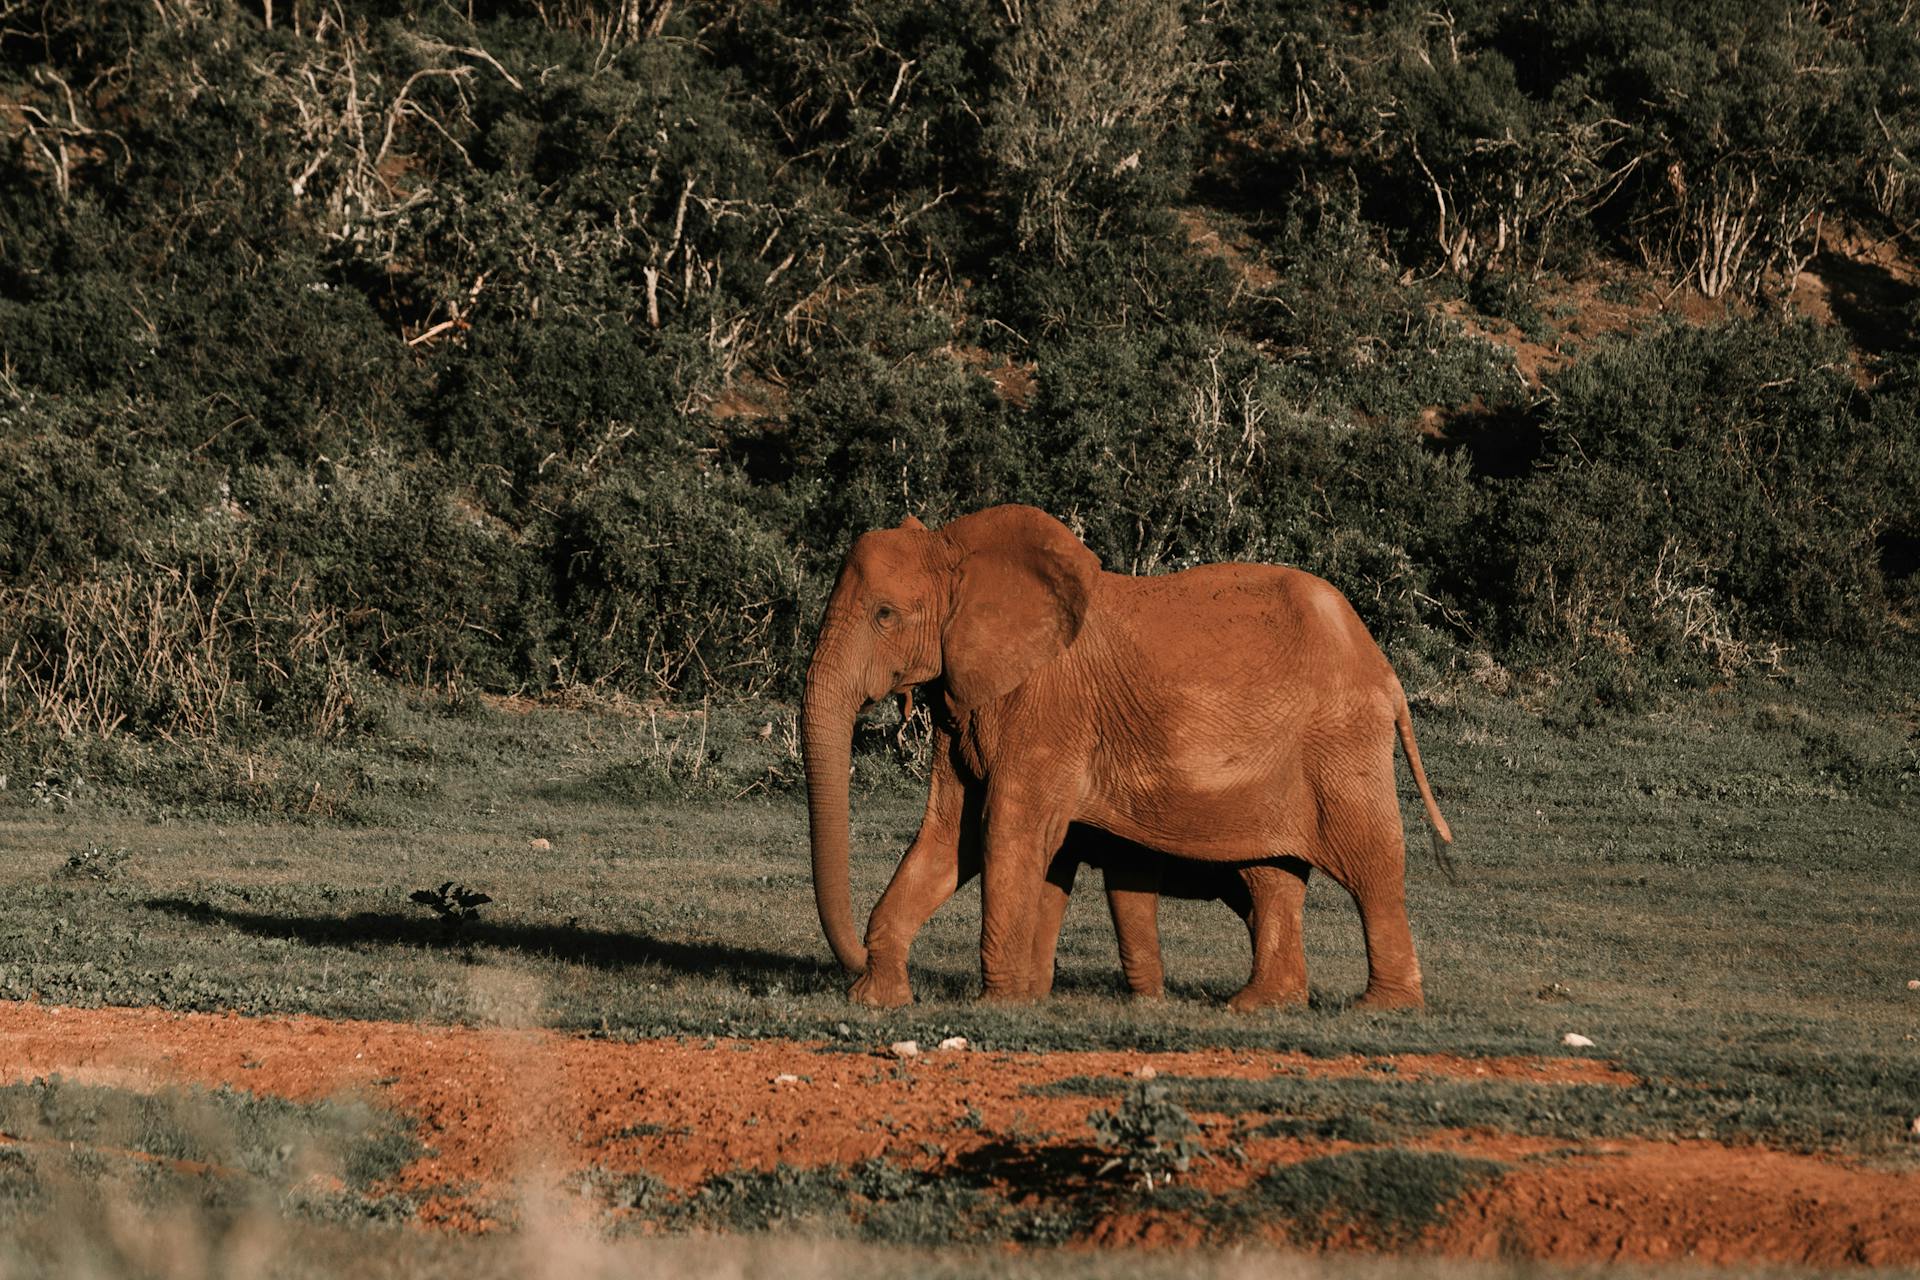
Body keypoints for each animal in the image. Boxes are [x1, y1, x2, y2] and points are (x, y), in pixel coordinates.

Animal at [798, 498, 1451, 1013]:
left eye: (884, 615)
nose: (853, 956)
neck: (958, 547)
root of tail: (1383, 669)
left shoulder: (1047, 706)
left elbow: (1004, 830)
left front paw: (997, 1005)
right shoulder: (969, 702)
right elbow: (947, 835)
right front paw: (878, 999)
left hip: (1341, 740)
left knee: (1370, 863)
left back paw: (1381, 1008)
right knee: (1271, 875)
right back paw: (1258, 1005)